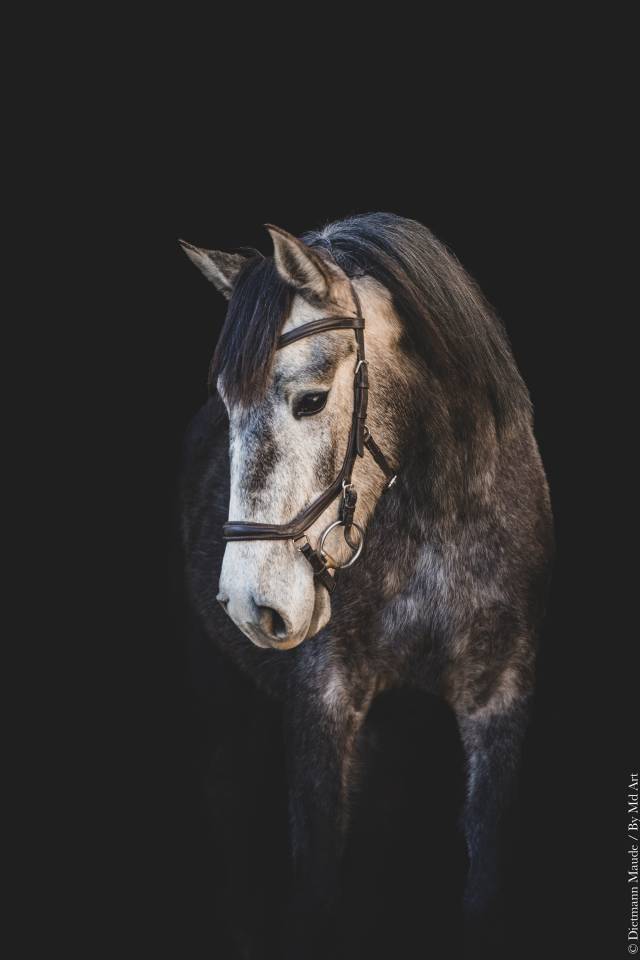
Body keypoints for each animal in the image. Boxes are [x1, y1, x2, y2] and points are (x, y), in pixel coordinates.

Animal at [178, 212, 554, 957]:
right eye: (227, 406)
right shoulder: (322, 705)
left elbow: (483, 883)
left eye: (311, 400)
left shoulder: (501, 704)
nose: (250, 605)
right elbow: (317, 891)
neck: (440, 520)